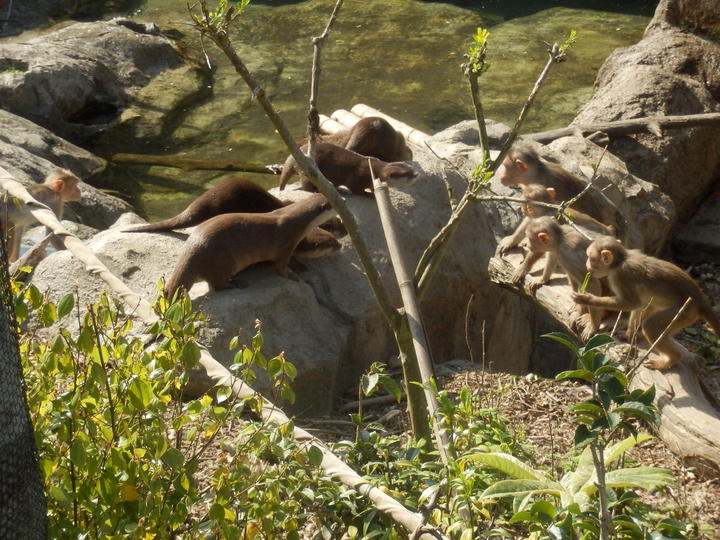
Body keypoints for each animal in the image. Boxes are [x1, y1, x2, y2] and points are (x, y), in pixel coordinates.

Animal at [166, 193, 338, 298]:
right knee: (216, 285)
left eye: (334, 239)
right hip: (222, 262)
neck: (296, 221)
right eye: (331, 243)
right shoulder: (286, 245)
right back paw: (236, 284)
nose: (340, 246)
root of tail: (193, 249)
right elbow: (281, 267)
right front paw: (293, 275)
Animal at [278, 141, 420, 196]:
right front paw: (369, 195)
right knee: (306, 185)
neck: (374, 170)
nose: (417, 174)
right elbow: (355, 188)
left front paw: (373, 191)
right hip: (307, 169)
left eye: (410, 167)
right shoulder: (359, 176)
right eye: (406, 173)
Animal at [572, 237, 720, 372]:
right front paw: (630, 333)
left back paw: (671, 359)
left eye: (590, 258)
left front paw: (588, 299)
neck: (620, 262)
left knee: (650, 325)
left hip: (685, 313)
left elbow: (632, 303)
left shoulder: (621, 276)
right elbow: (640, 305)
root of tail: (700, 299)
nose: (586, 265)